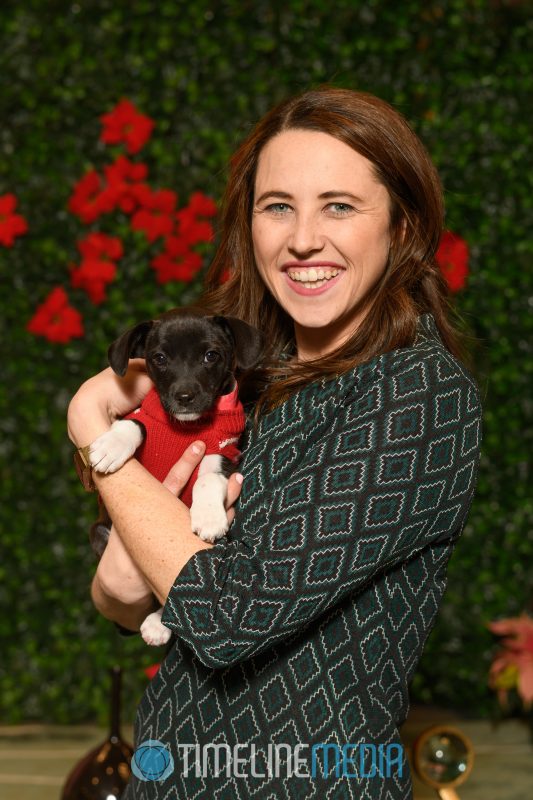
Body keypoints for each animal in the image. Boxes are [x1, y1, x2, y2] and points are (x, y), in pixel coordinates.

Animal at [87, 310, 264, 648]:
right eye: (159, 358)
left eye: (211, 355)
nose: (184, 396)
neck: (186, 429)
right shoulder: (144, 416)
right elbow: (135, 424)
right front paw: (112, 445)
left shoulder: (224, 453)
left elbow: (208, 480)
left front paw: (208, 517)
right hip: (100, 532)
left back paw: (158, 623)